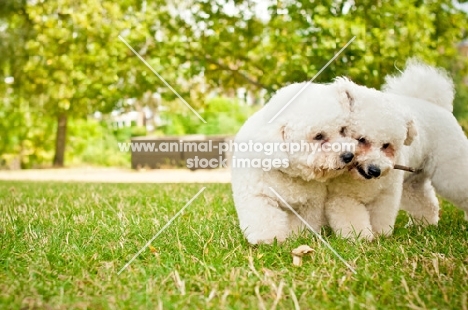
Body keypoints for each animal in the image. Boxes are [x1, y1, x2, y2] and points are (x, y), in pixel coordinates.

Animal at [232, 81, 356, 245]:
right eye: (318, 136)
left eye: (342, 130)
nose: (348, 156)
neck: (289, 174)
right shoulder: (257, 195)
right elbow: (265, 217)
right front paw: (269, 239)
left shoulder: (311, 202)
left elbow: (304, 221)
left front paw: (297, 236)